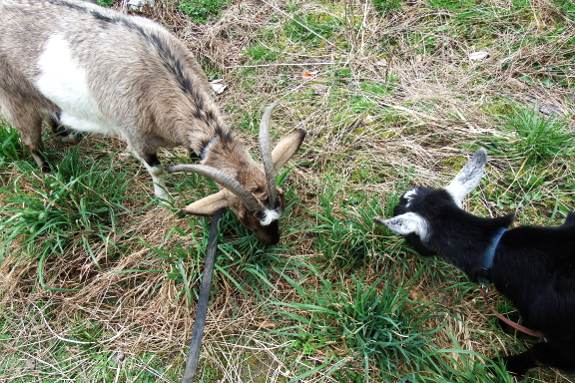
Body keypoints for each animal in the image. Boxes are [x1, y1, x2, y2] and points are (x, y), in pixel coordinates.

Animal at [0, 0, 306, 246]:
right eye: (243, 216)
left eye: (282, 199)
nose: (273, 242)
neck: (161, 73)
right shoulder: (134, 134)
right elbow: (155, 169)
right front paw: (165, 201)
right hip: (14, 97)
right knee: (30, 140)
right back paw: (49, 172)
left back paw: (66, 135)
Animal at [374, 149, 575, 376]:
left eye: (397, 210)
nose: (392, 204)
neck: (496, 250)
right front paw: (511, 324)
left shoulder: (568, 349)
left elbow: (538, 353)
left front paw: (506, 365)